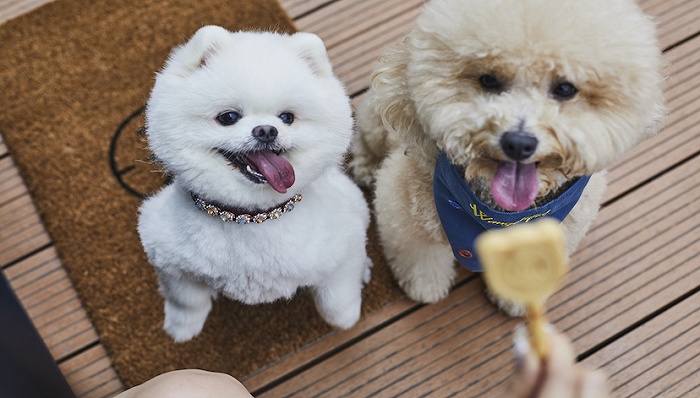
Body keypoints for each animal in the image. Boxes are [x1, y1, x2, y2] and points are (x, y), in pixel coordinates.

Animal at [136, 25, 372, 342]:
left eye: (287, 117)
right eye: (228, 117)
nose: (266, 130)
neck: (250, 217)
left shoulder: (342, 244)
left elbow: (337, 296)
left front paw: (345, 319)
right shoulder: (167, 256)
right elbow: (186, 300)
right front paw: (182, 328)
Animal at [352, 0, 664, 310]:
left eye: (565, 88)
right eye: (488, 80)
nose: (518, 142)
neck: (502, 216)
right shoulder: (402, 218)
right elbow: (420, 260)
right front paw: (426, 288)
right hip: (377, 119)